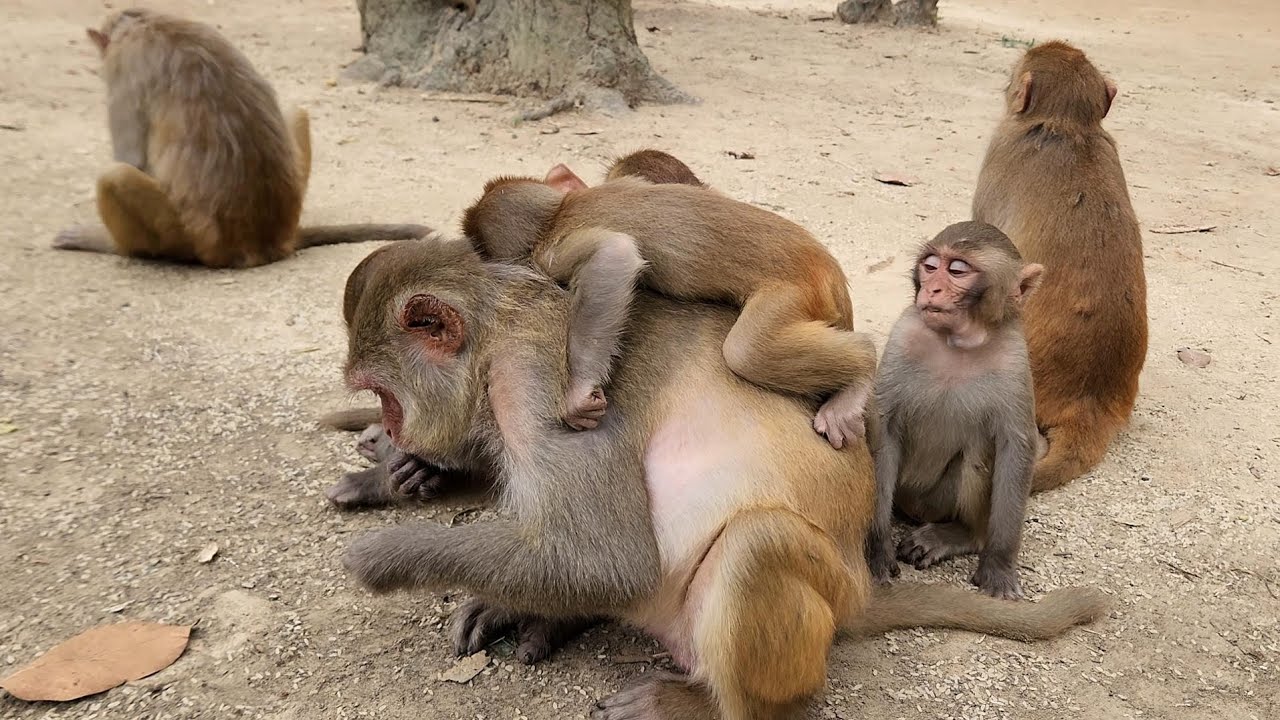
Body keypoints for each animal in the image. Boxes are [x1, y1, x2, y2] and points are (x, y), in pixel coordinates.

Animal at [53, 9, 431, 269]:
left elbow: (130, 158)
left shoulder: (123, 68)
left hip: (183, 237)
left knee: (114, 175)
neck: (146, 21)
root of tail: (265, 241)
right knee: (296, 110)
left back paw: (116, 246)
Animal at [461, 171, 878, 449]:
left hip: (798, 292)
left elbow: (613, 257)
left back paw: (862, 365)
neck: (559, 210)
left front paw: (579, 392)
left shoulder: (552, 254)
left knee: (746, 351)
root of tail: (832, 274)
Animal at [864, 222, 1043, 600]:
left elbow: (1016, 447)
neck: (957, 341)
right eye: (931, 265)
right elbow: (883, 427)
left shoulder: (1014, 358)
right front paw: (877, 551)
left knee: (976, 459)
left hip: (939, 501)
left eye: (958, 270)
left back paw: (960, 535)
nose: (932, 288)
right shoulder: (904, 334)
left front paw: (999, 566)